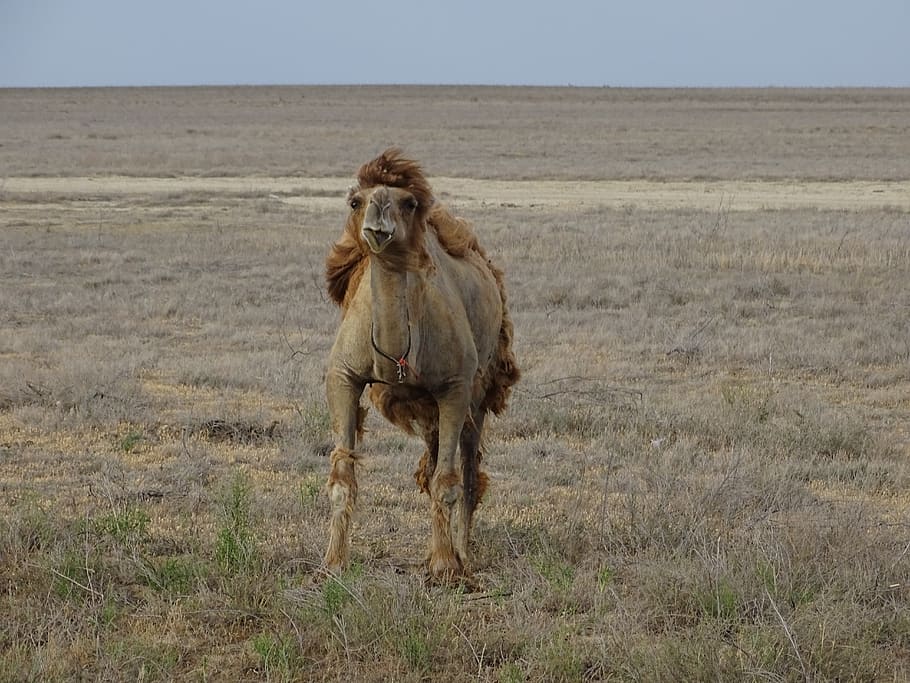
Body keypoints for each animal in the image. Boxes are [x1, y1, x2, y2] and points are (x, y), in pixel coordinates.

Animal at [322, 148, 520, 578]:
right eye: (355, 201)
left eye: (408, 203)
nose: (377, 225)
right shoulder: (343, 376)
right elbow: (343, 474)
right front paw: (333, 562)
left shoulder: (454, 386)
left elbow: (447, 480)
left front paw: (446, 566)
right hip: (427, 406)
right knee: (433, 464)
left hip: (480, 390)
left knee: (467, 470)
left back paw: (462, 554)